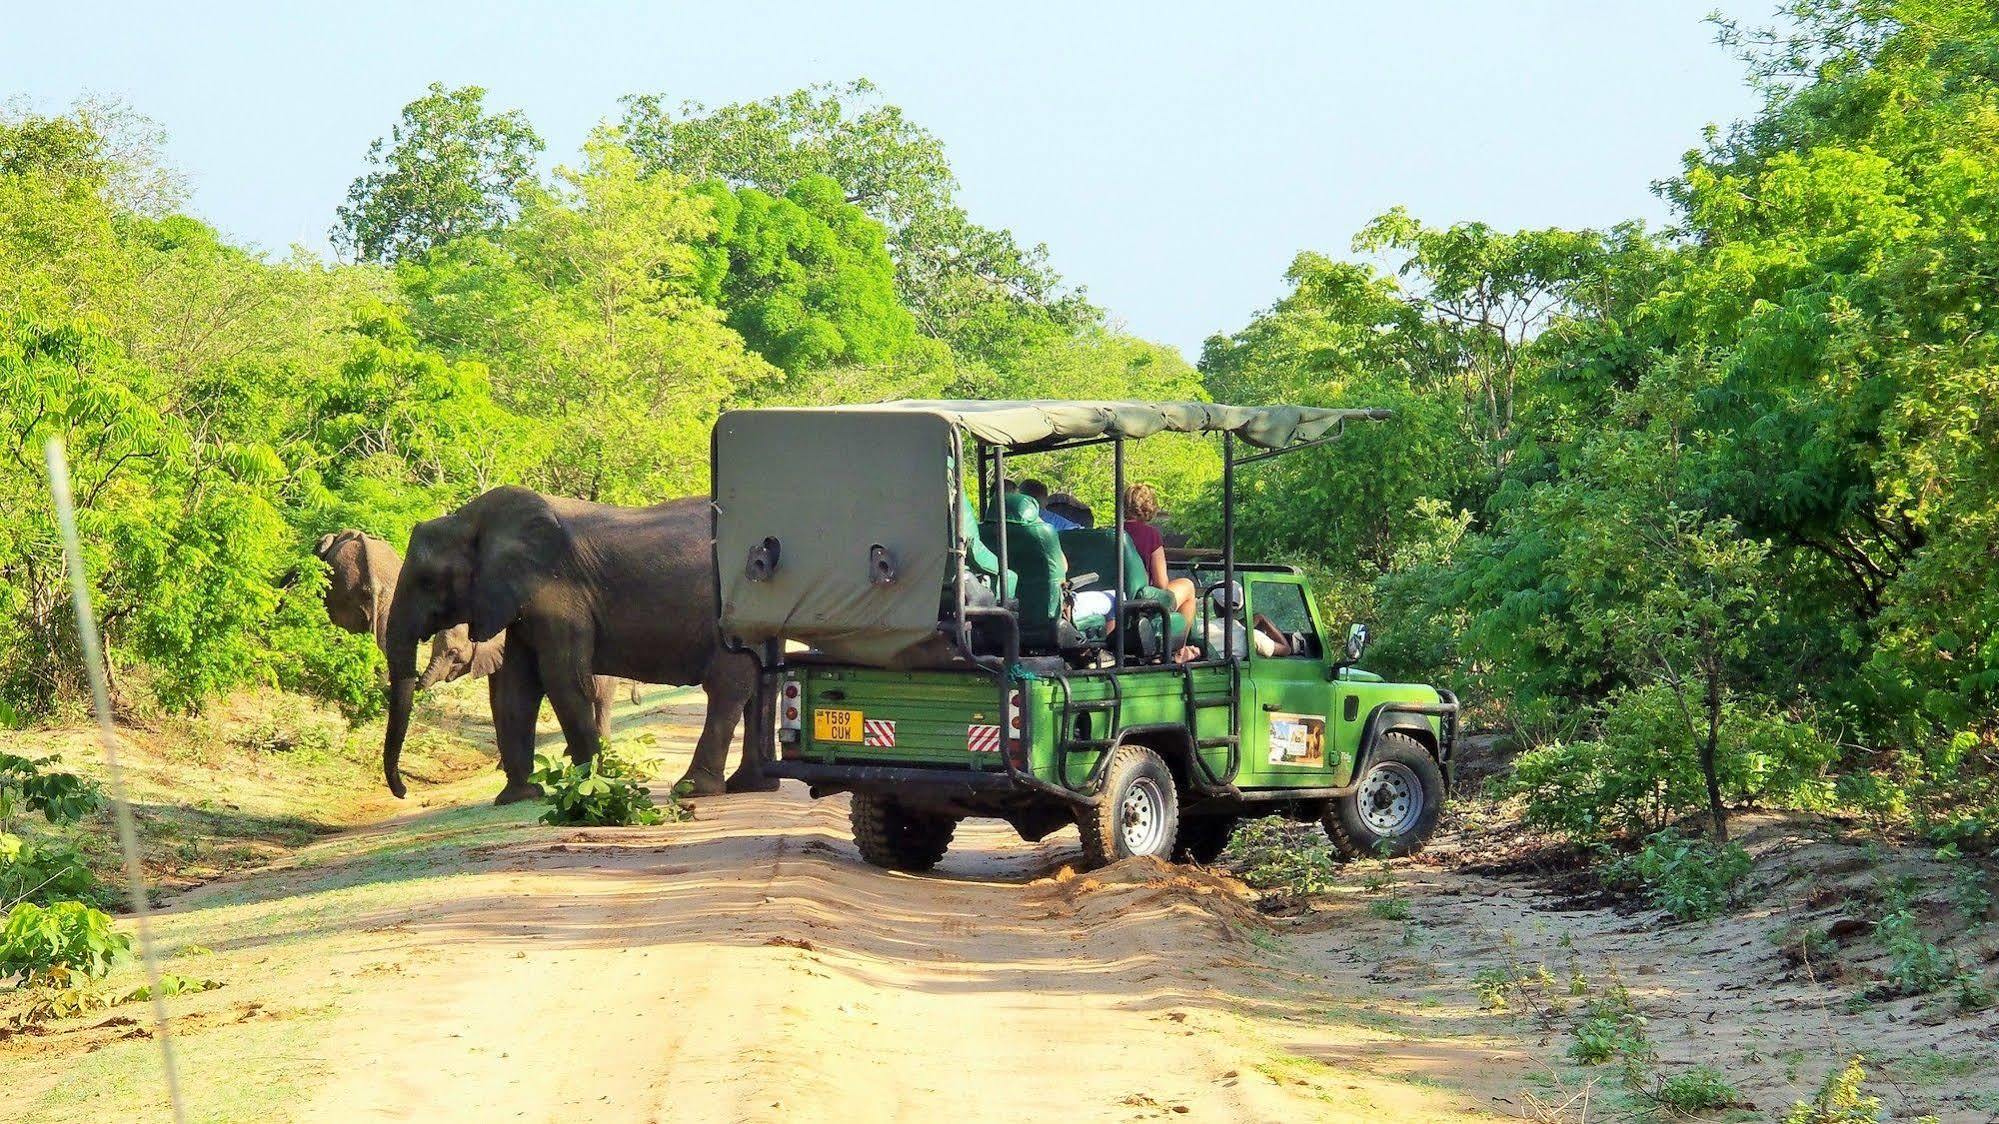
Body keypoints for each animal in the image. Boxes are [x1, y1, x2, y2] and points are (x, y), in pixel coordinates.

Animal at [381, 486, 771, 800]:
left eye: (428, 581)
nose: (404, 792)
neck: (470, 519)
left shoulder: (558, 594)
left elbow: (563, 681)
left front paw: (595, 787)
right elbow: (515, 692)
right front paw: (519, 796)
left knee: (728, 686)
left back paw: (694, 789)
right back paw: (748, 786)